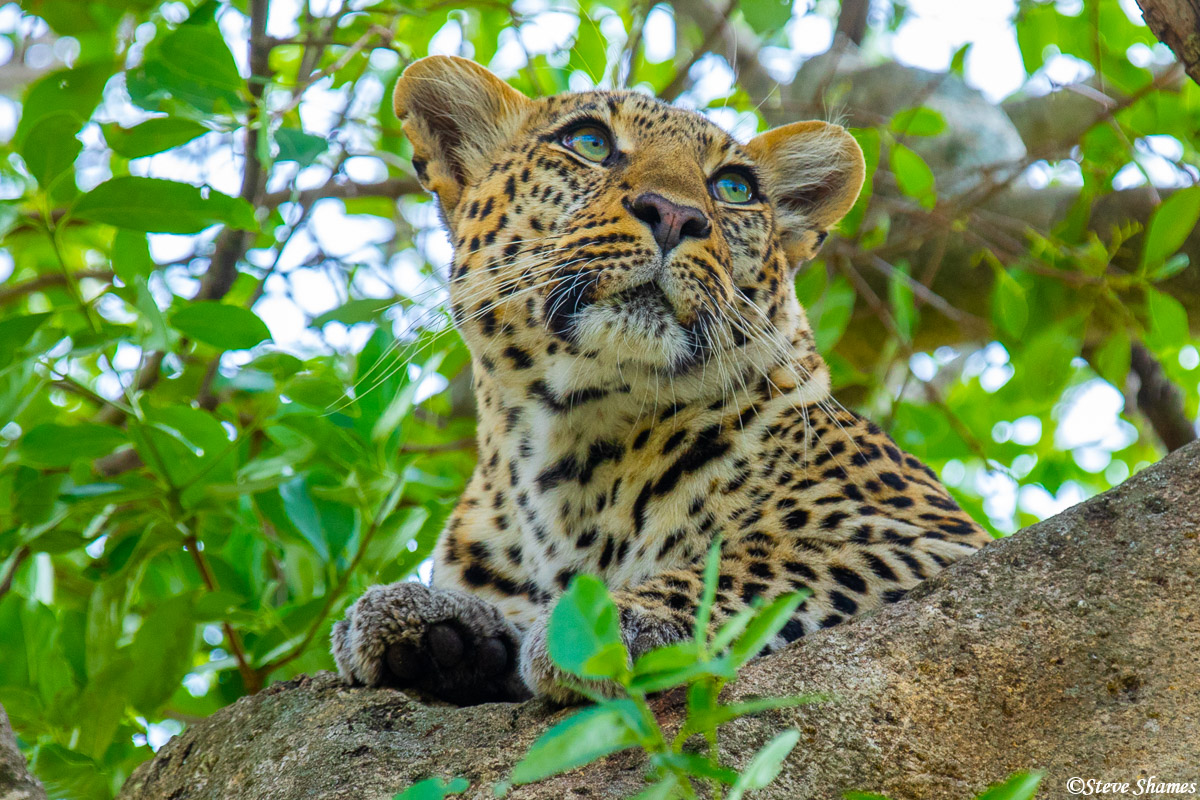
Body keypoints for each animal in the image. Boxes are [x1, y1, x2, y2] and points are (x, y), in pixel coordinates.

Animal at [331, 56, 993, 705]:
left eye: (734, 188)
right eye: (590, 143)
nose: (676, 216)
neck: (566, 447)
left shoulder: (932, 535)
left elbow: (770, 559)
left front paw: (610, 625)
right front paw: (430, 620)